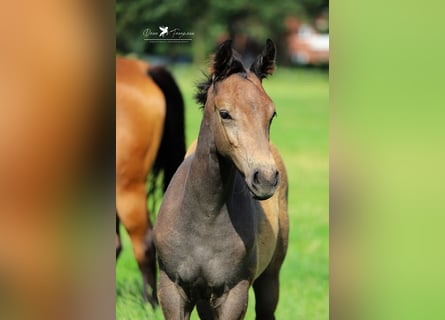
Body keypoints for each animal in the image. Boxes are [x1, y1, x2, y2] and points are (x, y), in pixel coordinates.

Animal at [154, 40, 290, 320]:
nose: (266, 178)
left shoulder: (234, 294)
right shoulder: (171, 289)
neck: (205, 217)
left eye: (271, 114)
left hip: (270, 277)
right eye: (225, 113)